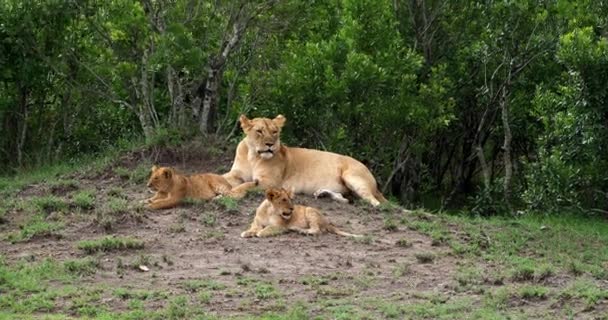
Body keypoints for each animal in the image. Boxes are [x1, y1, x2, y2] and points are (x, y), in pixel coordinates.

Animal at [222, 114, 384, 206]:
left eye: (275, 132)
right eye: (259, 131)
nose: (270, 145)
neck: (253, 155)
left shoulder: (271, 182)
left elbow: (247, 184)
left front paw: (230, 194)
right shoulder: (236, 174)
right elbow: (222, 177)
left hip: (352, 177)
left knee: (375, 202)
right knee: (346, 199)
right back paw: (322, 193)